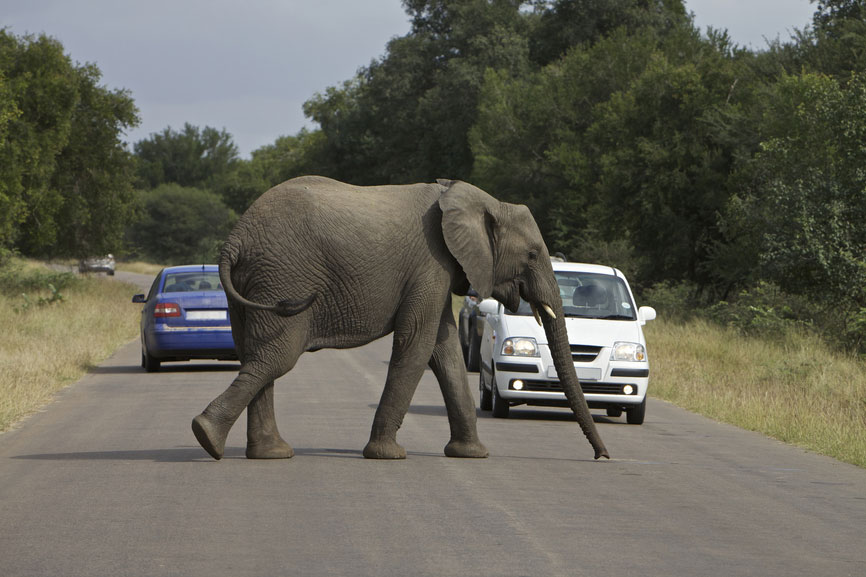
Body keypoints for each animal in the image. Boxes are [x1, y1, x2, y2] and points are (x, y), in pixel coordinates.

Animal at [191, 174, 608, 460]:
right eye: (533, 255)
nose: (602, 456)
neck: (479, 199)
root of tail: (235, 240)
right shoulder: (431, 263)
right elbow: (418, 343)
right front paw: (387, 455)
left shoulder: (439, 271)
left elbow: (445, 351)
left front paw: (472, 454)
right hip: (282, 278)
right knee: (276, 357)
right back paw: (207, 437)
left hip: (255, 284)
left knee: (255, 355)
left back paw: (264, 452)